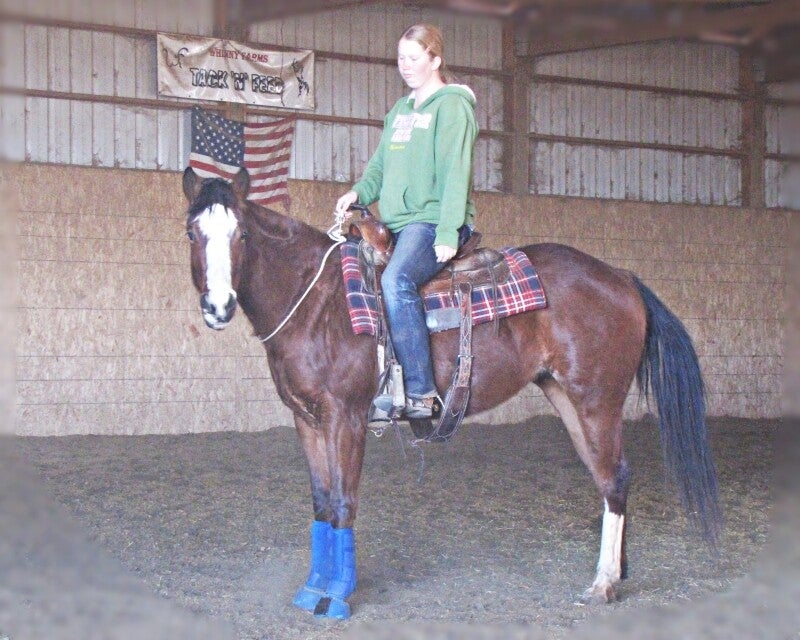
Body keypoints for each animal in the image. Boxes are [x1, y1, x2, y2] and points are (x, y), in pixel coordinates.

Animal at [181, 166, 721, 620]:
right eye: (192, 233)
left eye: (242, 234)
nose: (218, 306)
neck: (318, 303)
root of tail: (622, 277)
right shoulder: (308, 420)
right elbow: (320, 503)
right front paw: (313, 588)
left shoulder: (345, 419)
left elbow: (344, 503)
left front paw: (336, 598)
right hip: (566, 397)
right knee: (607, 477)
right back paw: (617, 573)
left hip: (597, 399)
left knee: (616, 476)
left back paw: (603, 583)